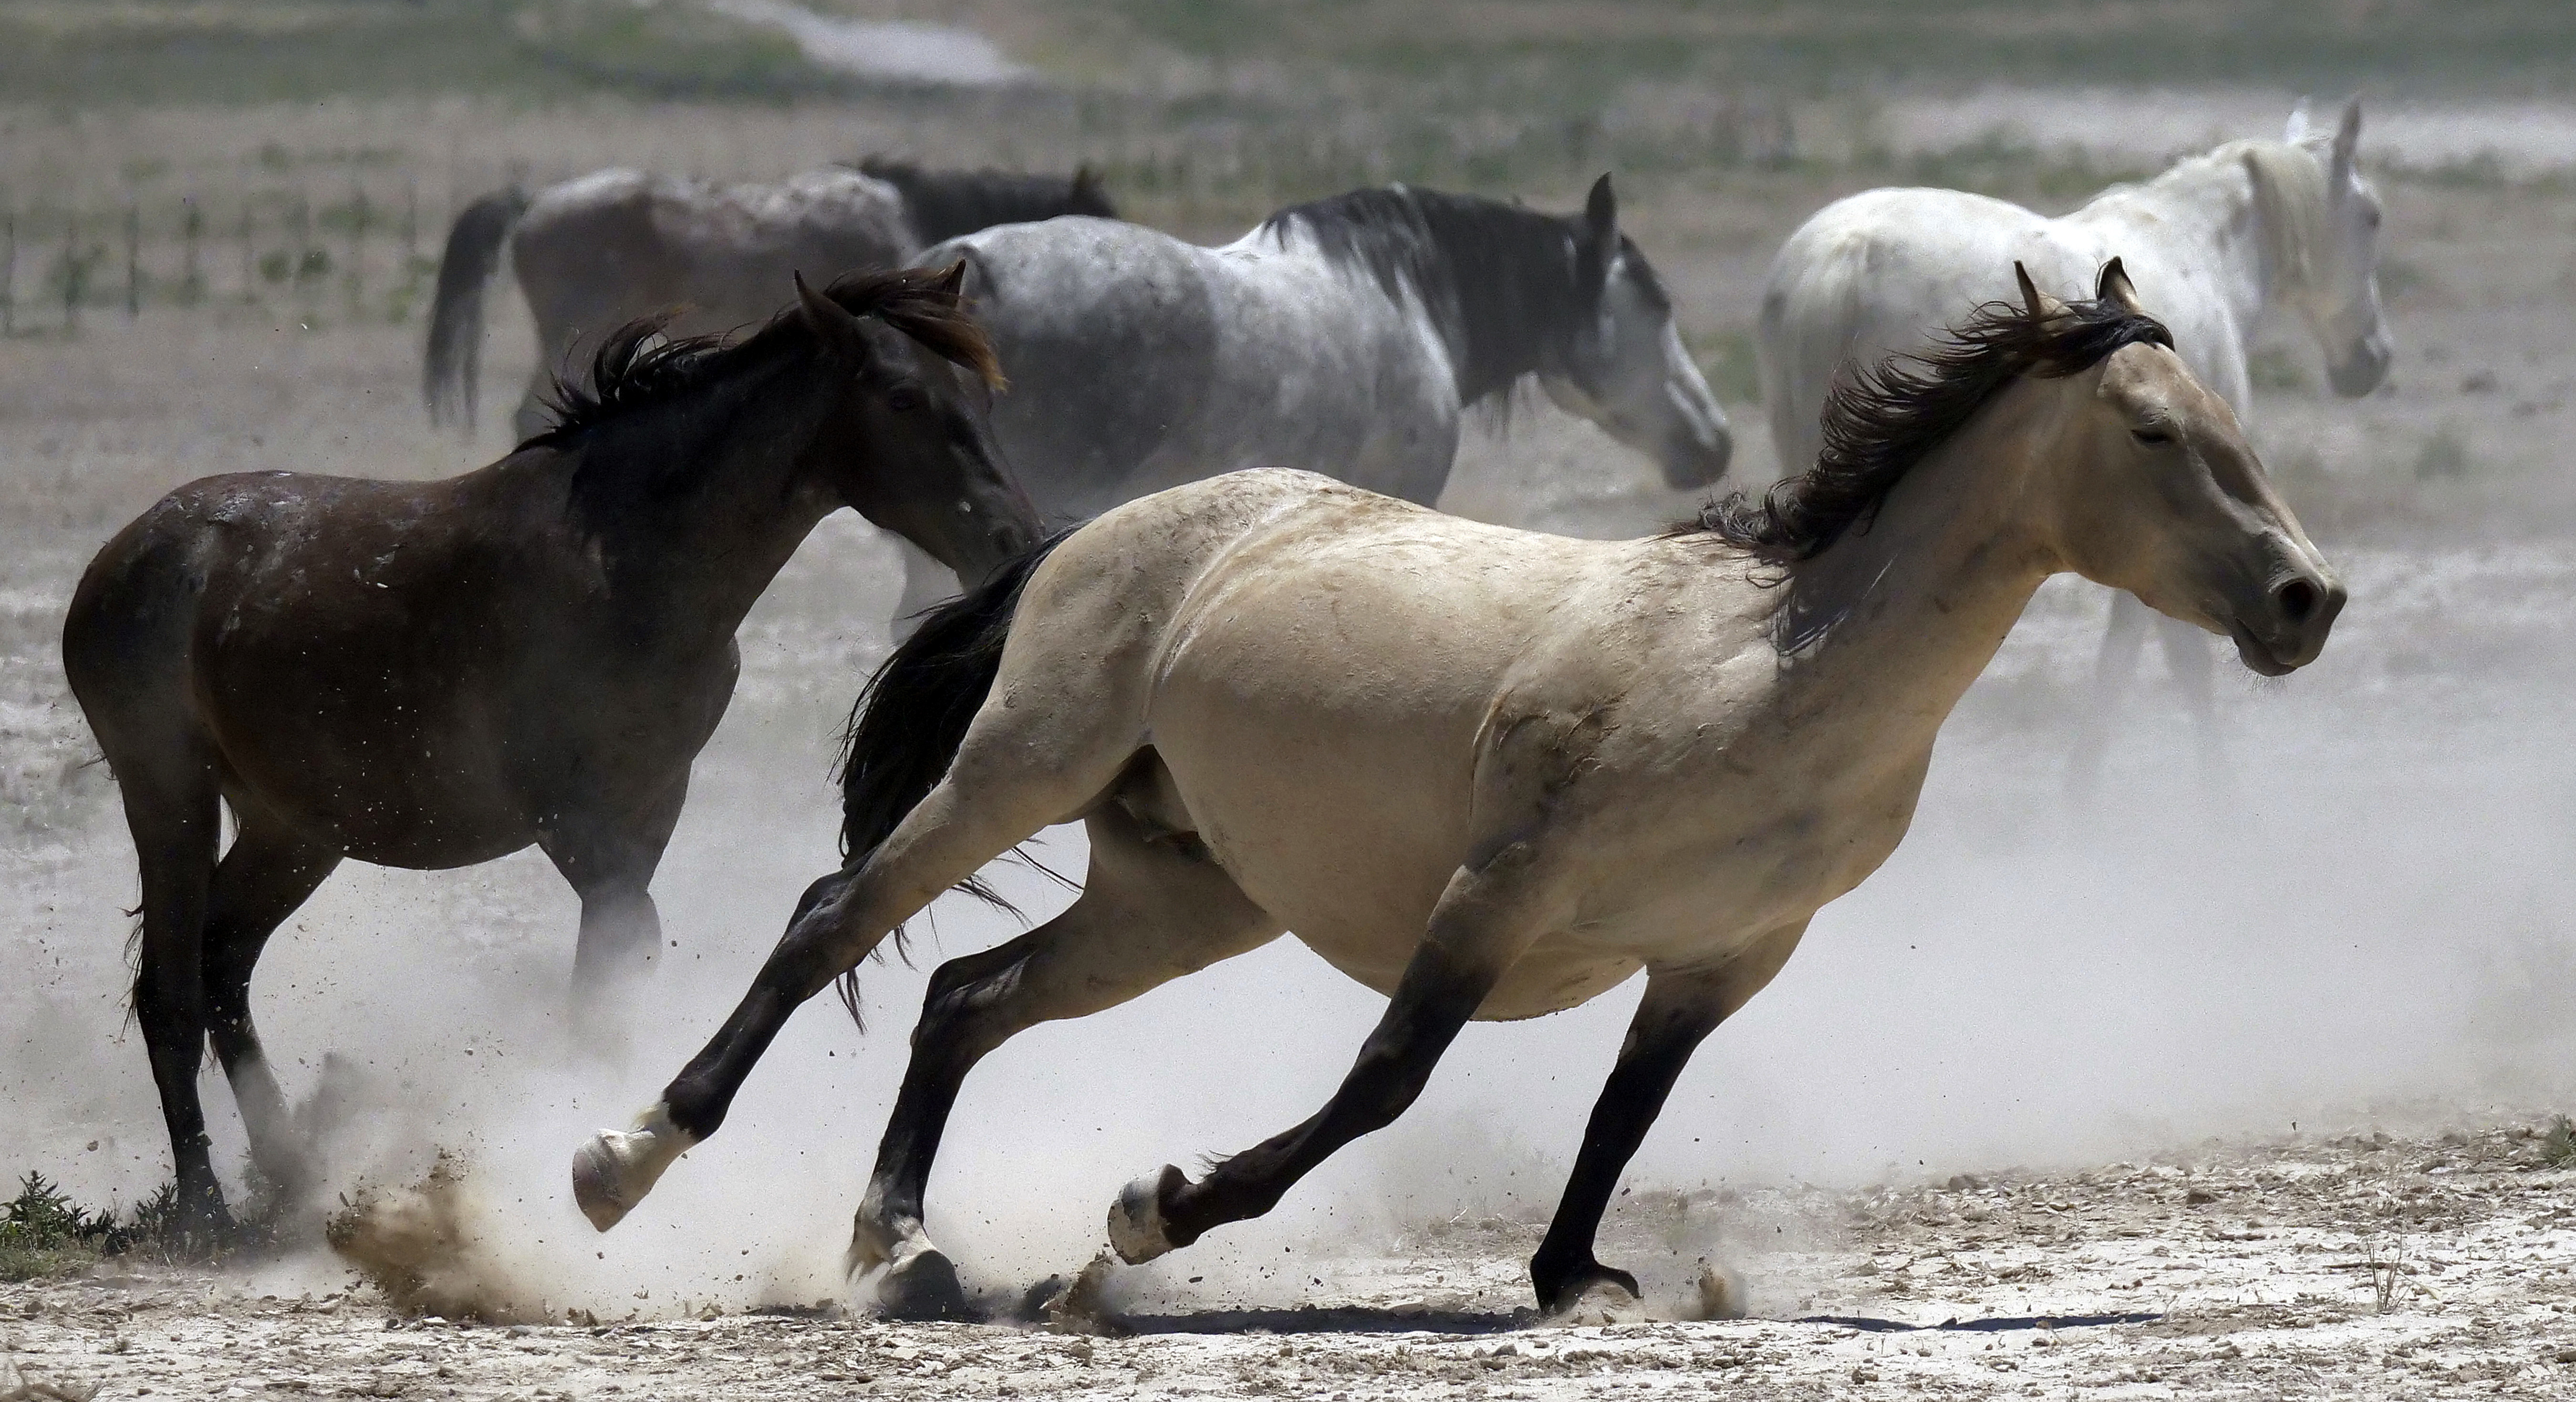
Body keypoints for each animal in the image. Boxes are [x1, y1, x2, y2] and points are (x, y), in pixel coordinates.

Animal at [65, 266, 1038, 1247]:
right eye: (905, 397)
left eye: (983, 396)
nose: (1011, 541)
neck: (631, 561)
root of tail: (123, 553)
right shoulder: (572, 819)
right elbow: (617, 965)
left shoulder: (649, 808)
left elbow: (609, 976)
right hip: (171, 797)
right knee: (171, 994)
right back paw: (205, 1210)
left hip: (295, 831)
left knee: (223, 963)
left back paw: (293, 1175)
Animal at [570, 262, 2344, 1319]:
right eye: (2153, 431)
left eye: (2228, 417)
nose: (2305, 601)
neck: (1774, 671)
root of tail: (1093, 532)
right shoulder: (1500, 891)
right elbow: (1386, 1080)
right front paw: (1153, 1212)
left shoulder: (1718, 957)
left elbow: (1627, 1114)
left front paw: (1573, 1272)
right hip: (1022, 768)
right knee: (832, 920)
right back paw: (625, 1157)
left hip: (1184, 896)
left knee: (961, 995)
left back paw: (893, 1244)